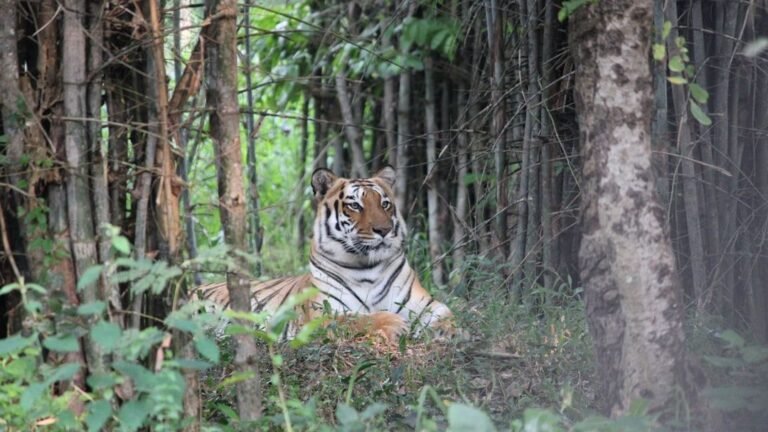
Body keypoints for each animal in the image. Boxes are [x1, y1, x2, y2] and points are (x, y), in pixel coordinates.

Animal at [196, 166, 454, 342]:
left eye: (385, 204)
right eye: (355, 206)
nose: (384, 230)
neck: (367, 268)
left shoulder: (423, 302)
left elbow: (445, 314)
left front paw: (447, 331)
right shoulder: (322, 315)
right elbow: (358, 318)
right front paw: (394, 322)